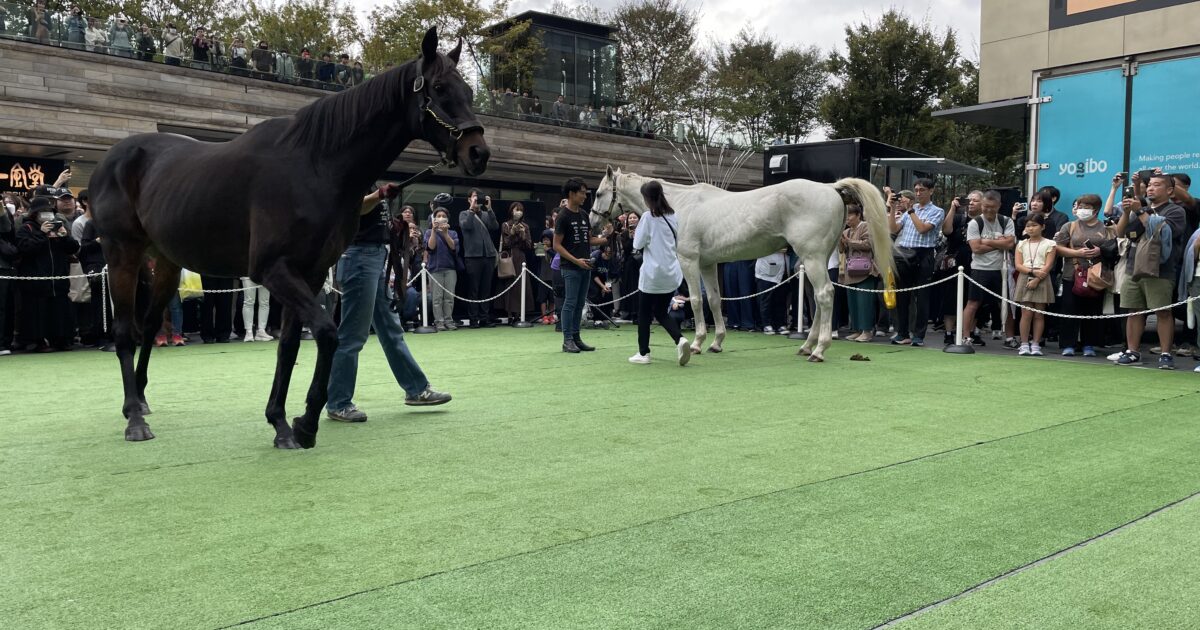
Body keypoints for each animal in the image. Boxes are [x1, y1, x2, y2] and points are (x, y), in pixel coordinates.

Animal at [89, 28, 490, 449]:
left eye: (468, 91)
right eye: (440, 88)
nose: (478, 152)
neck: (314, 164)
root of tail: (113, 158)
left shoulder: (309, 273)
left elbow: (291, 345)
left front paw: (281, 423)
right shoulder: (273, 270)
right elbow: (327, 333)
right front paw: (306, 423)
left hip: (167, 260)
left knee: (149, 326)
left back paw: (141, 400)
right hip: (122, 255)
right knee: (124, 333)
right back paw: (134, 419)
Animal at [590, 167, 896, 362]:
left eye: (598, 193)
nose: (593, 220)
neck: (678, 204)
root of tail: (830, 188)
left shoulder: (688, 261)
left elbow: (696, 300)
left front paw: (697, 343)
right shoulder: (708, 264)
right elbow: (714, 300)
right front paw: (715, 343)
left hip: (811, 257)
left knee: (824, 296)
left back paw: (819, 350)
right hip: (817, 259)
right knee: (817, 301)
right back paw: (807, 347)